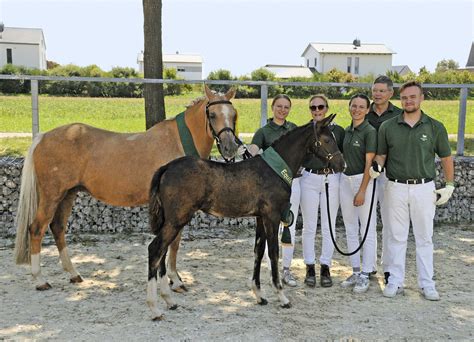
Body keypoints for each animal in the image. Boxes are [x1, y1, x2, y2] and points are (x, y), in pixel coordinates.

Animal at [15, 84, 241, 290]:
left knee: (57, 228)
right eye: (212, 114)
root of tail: (42, 137)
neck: (178, 142)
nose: (230, 147)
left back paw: (74, 274)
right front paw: (175, 280)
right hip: (51, 195)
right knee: (37, 228)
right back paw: (40, 279)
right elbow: (174, 243)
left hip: (67, 195)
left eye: (234, 115)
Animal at [146, 115, 342, 320]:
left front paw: (260, 295)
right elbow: (273, 253)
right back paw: (155, 308)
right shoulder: (272, 217)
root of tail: (166, 167)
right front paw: (282, 297)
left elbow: (258, 251)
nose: (341, 164)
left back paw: (169, 301)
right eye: (327, 140)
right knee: (155, 250)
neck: (274, 170)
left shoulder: (260, 218)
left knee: (162, 252)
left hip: (171, 221)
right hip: (176, 220)